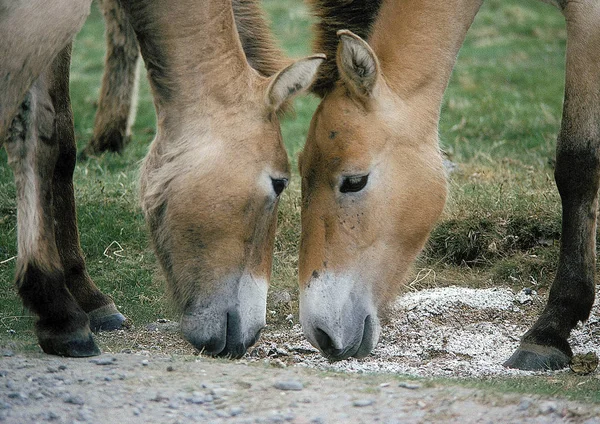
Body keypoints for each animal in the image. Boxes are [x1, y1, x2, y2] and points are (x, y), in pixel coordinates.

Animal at [1, 0, 324, 358]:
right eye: (279, 183)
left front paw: (80, 300)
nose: (251, 335)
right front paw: (58, 308)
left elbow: (50, 138)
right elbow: (46, 139)